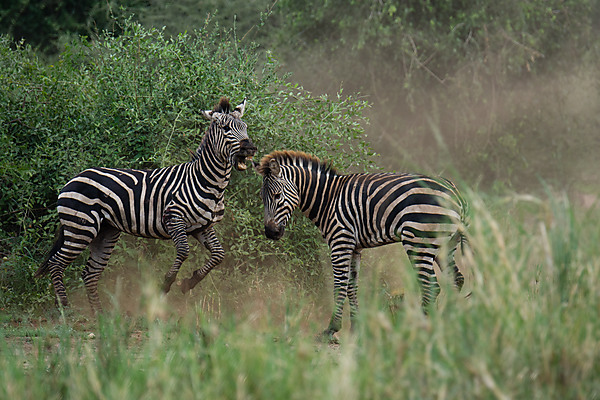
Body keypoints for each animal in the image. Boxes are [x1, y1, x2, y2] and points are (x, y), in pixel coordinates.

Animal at [35, 97, 255, 312]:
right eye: (226, 129)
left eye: (244, 127)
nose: (250, 148)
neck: (207, 182)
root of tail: (75, 178)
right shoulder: (173, 218)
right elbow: (184, 251)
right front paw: (166, 283)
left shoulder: (202, 227)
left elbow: (219, 255)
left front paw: (190, 282)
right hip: (80, 228)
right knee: (56, 264)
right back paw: (64, 309)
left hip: (105, 231)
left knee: (89, 273)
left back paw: (100, 316)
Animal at [253, 152, 468, 340]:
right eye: (262, 198)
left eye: (277, 195)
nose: (270, 233)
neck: (328, 200)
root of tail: (455, 193)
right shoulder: (354, 247)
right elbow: (351, 287)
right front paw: (356, 327)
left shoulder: (340, 241)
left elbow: (339, 285)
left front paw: (332, 329)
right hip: (445, 244)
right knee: (456, 279)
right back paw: (450, 322)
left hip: (419, 241)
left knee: (431, 286)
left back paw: (420, 328)